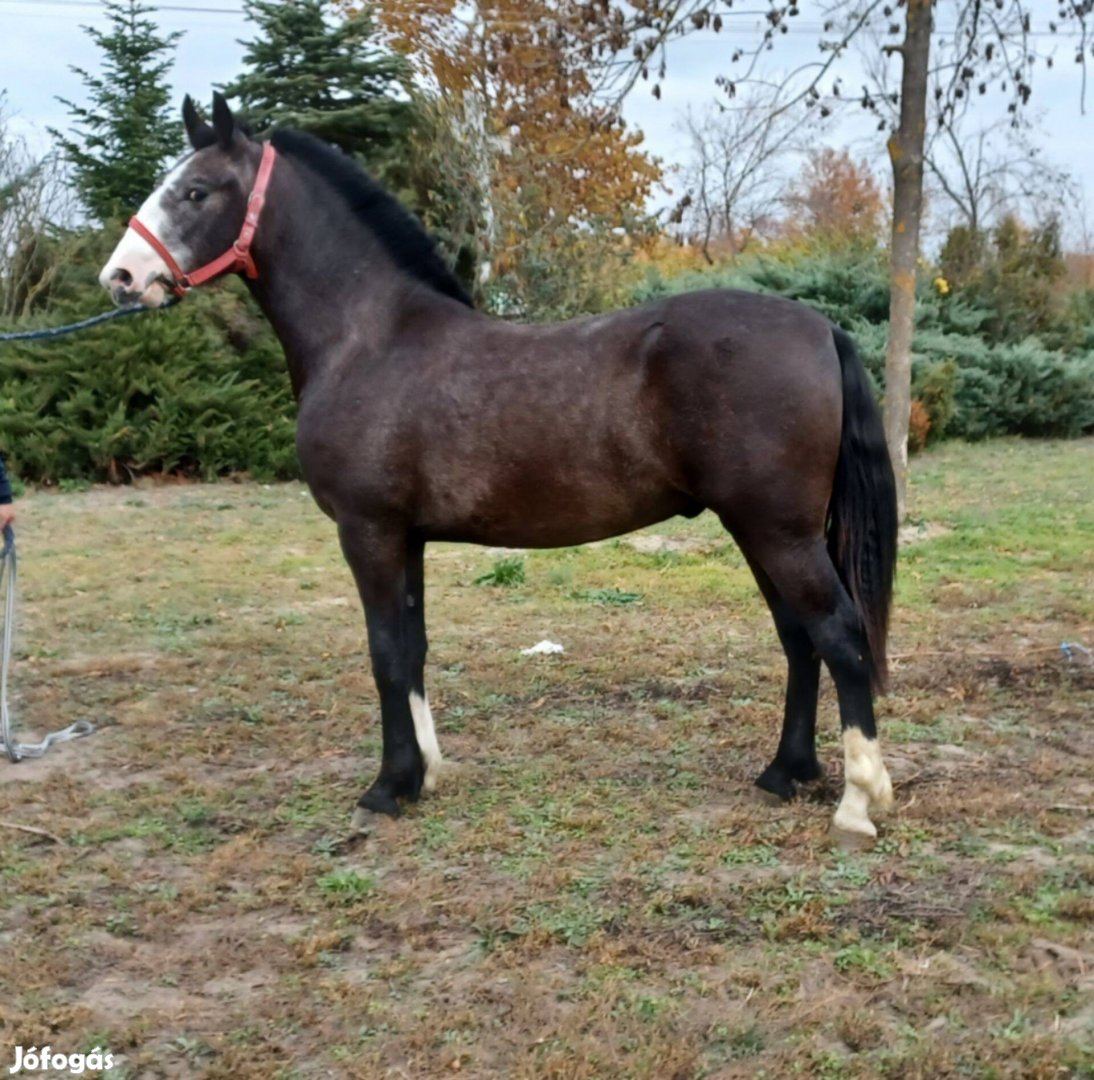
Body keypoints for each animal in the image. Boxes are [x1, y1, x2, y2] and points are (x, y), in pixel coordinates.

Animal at [100, 95, 897, 844]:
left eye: (196, 190)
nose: (121, 277)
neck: (368, 339)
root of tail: (821, 328)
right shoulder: (406, 537)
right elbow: (413, 648)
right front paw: (424, 773)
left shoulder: (368, 531)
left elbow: (385, 653)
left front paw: (386, 788)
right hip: (761, 531)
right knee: (799, 639)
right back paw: (786, 773)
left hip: (778, 532)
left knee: (839, 635)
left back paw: (857, 803)